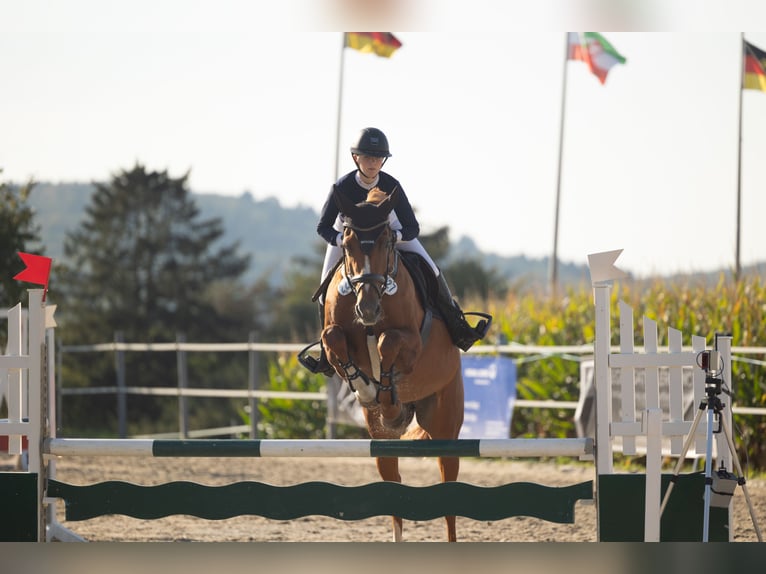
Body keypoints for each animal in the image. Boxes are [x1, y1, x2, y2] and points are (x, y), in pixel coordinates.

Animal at [320, 186, 464, 544]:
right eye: (347, 244)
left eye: (387, 242)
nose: (368, 309)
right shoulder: (334, 337)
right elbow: (334, 338)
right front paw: (366, 389)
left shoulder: (412, 342)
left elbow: (388, 343)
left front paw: (385, 395)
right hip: (381, 442)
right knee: (392, 482)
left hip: (446, 426)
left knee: (448, 486)